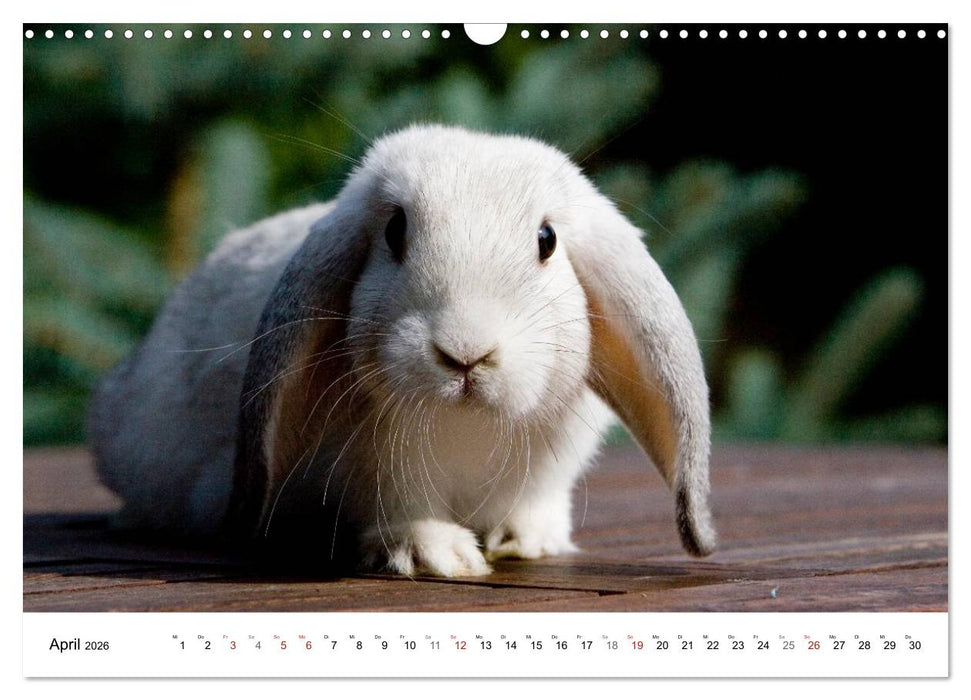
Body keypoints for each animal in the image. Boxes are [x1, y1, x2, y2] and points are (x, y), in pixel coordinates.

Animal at [89, 124, 715, 577]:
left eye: (547, 240)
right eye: (394, 231)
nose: (465, 354)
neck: (468, 424)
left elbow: (534, 505)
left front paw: (525, 542)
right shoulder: (377, 473)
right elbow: (402, 512)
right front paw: (438, 557)